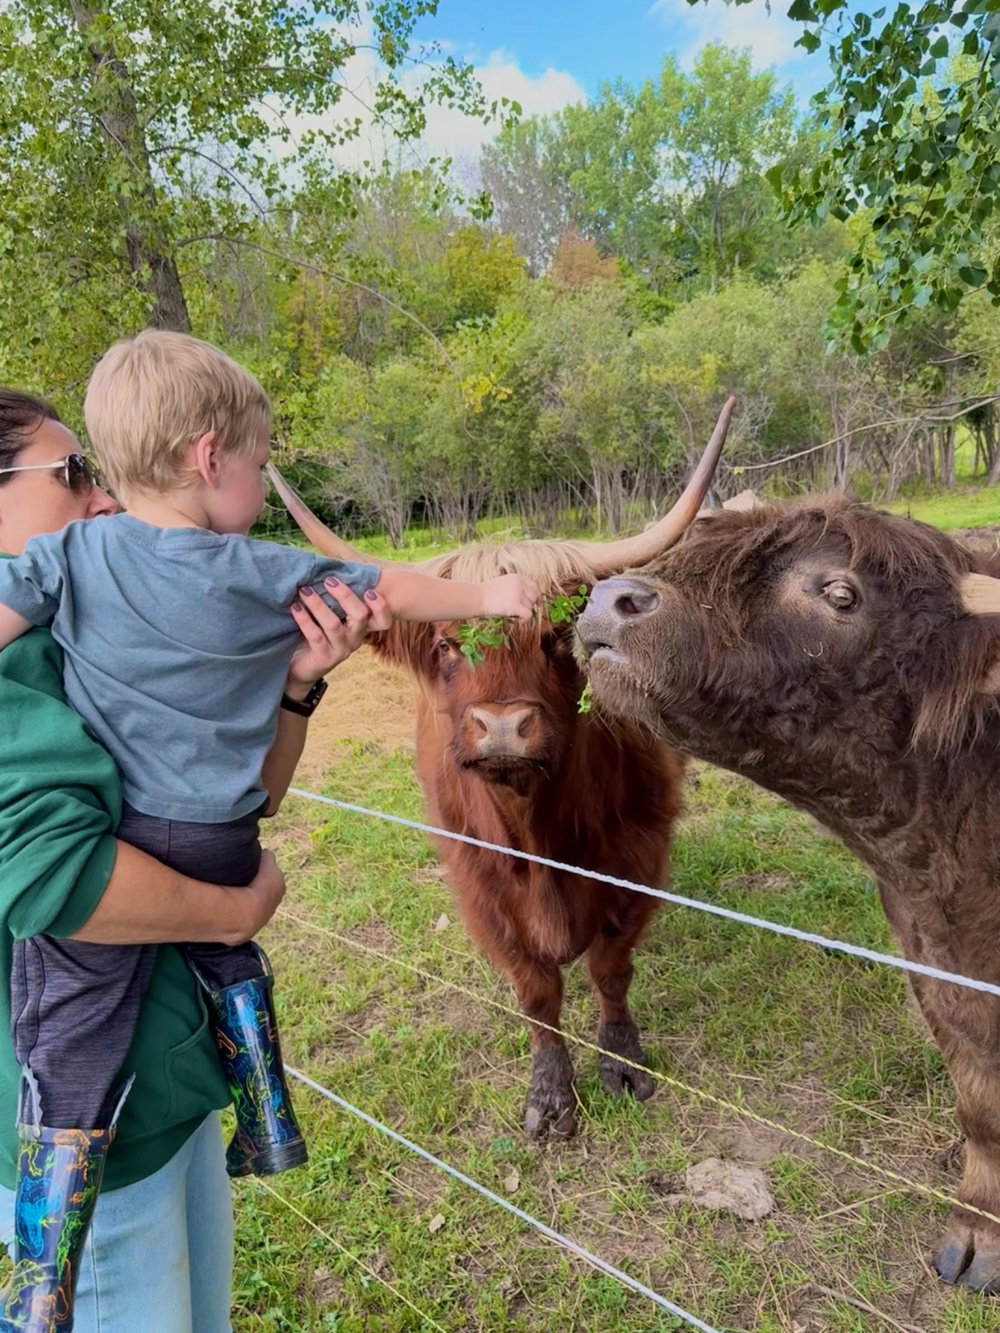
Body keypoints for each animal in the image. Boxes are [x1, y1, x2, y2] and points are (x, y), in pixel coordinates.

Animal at [266, 400, 734, 1138]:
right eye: (446, 645)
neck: (538, 832)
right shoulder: (479, 882)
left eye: (554, 636)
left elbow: (611, 967)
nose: (505, 729)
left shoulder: (637, 859)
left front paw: (623, 1063)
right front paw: (551, 1096)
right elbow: (536, 989)